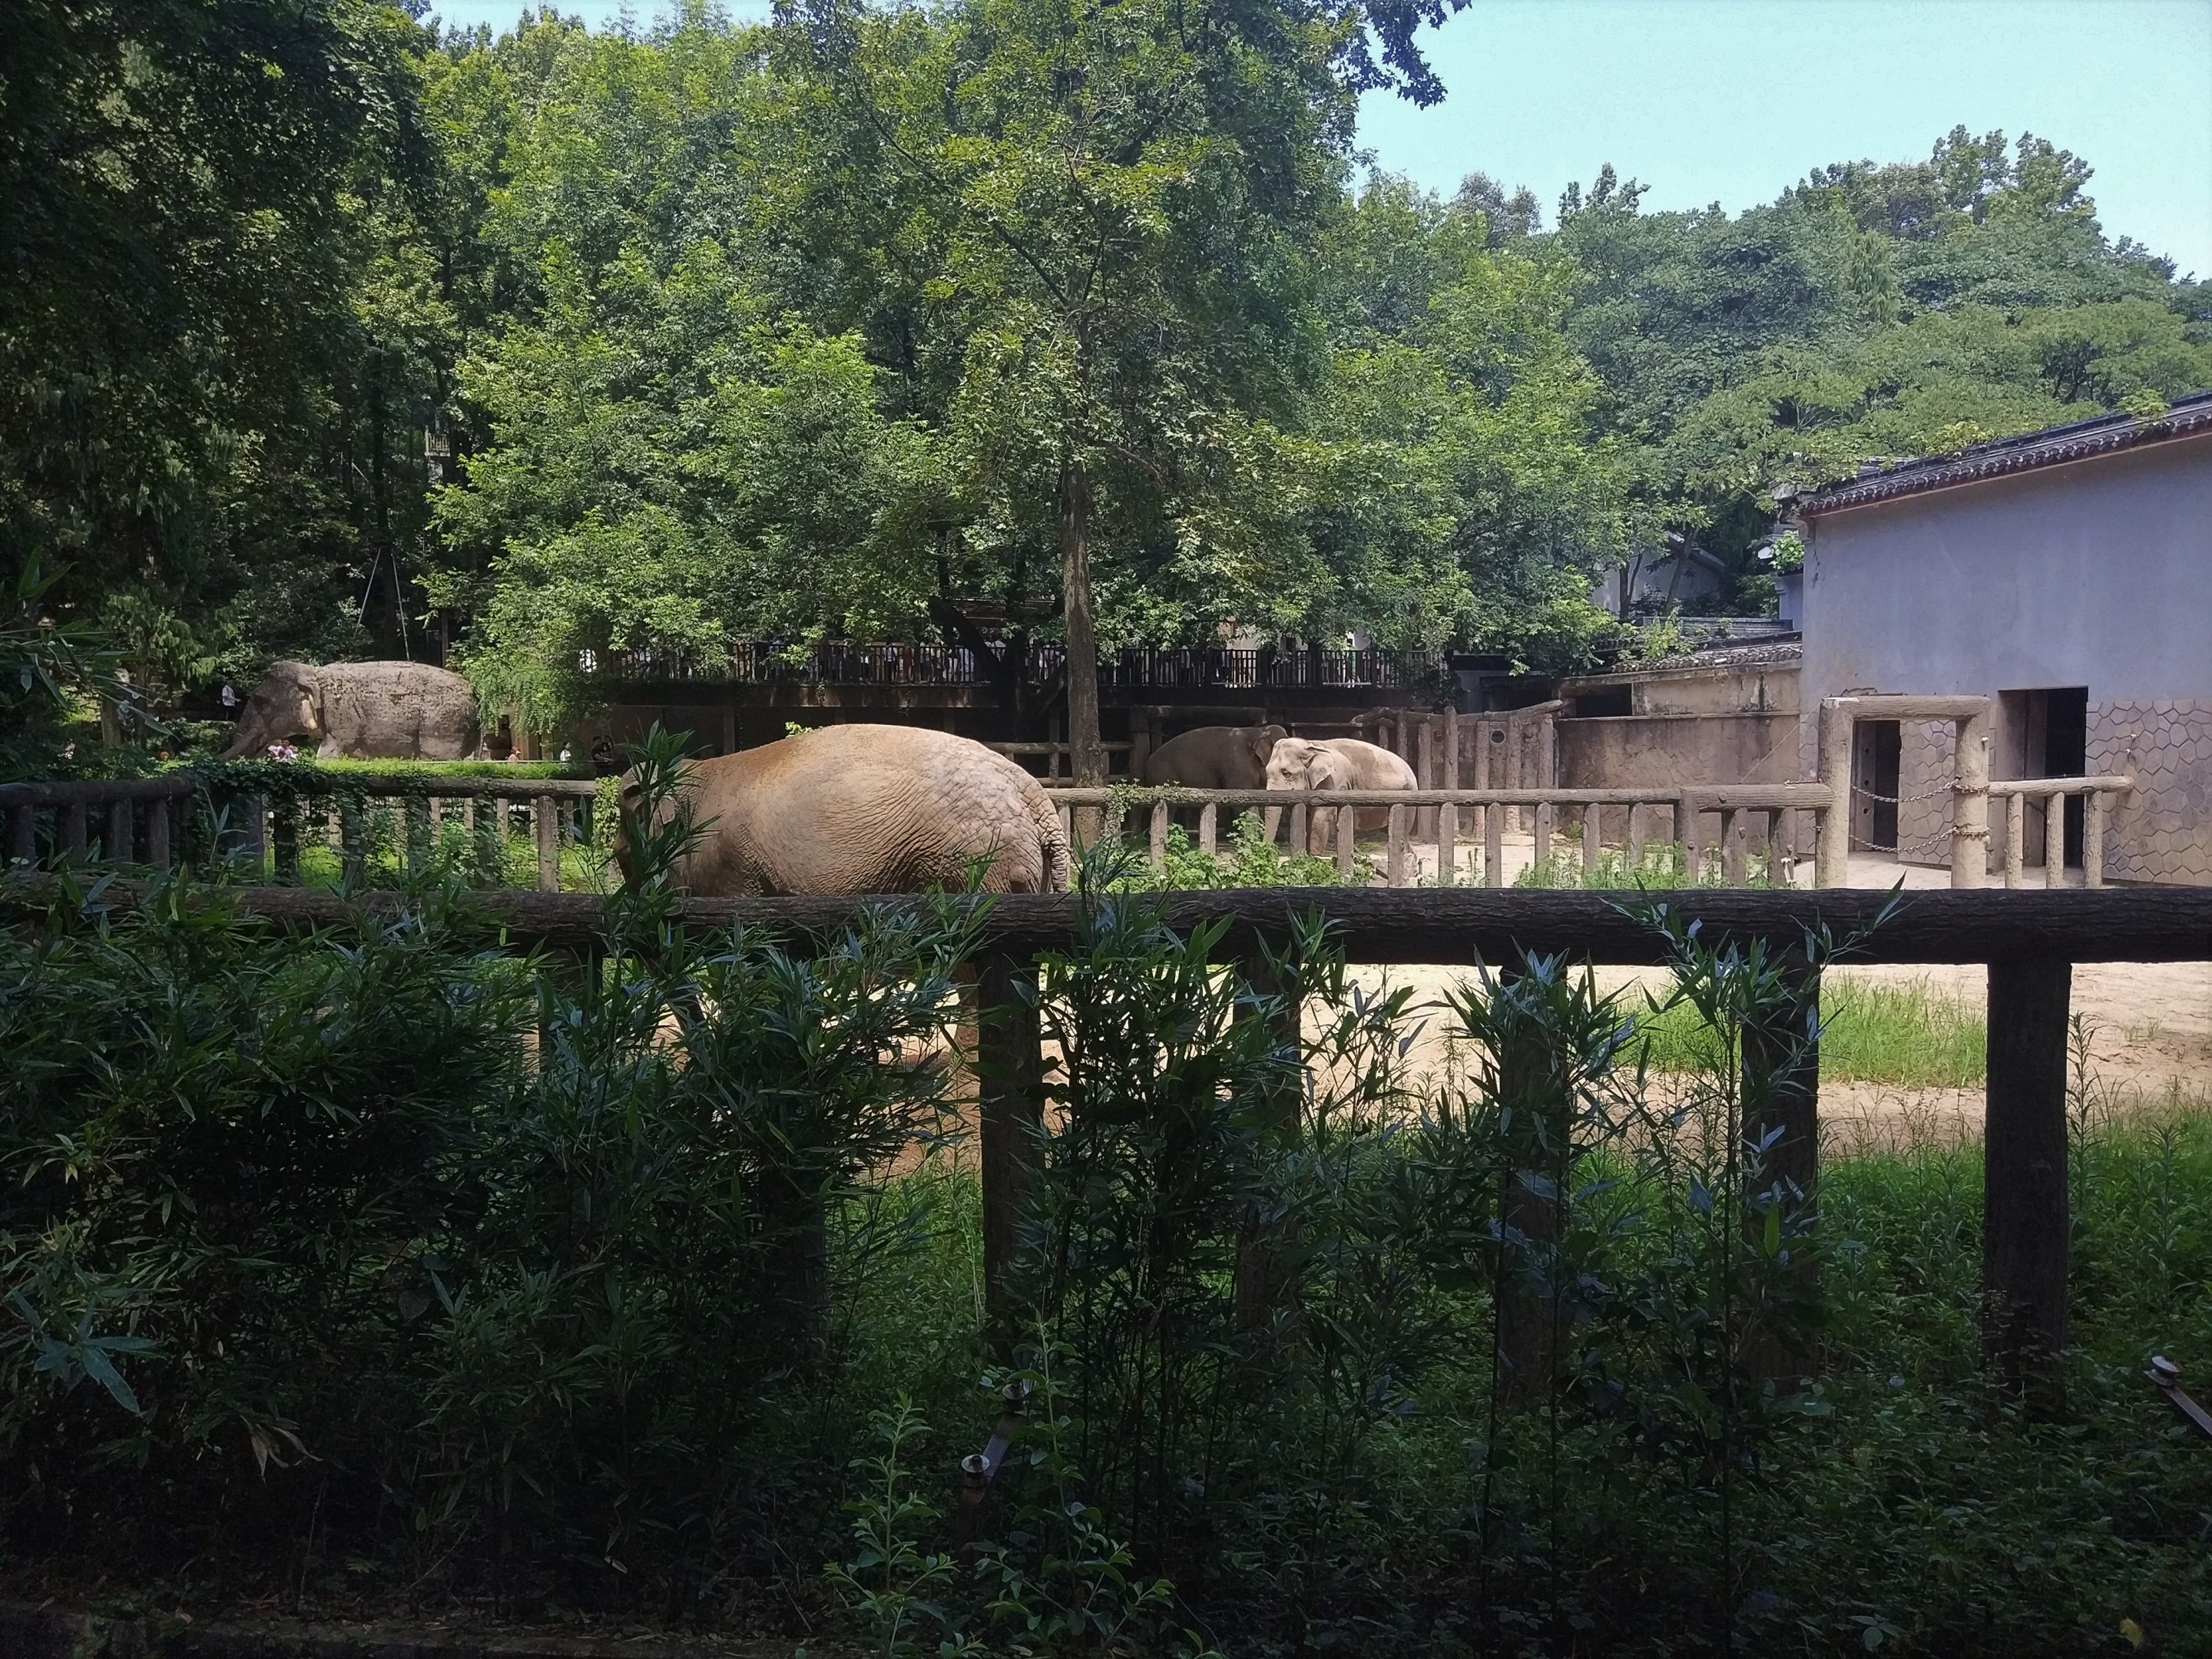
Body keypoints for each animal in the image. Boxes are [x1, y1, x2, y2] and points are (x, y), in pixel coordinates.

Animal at [220, 660, 481, 760]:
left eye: (261, 701)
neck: (314, 673)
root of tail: (474, 693)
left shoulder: (343, 713)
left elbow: (332, 749)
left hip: (442, 723)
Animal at [1264, 736, 1417, 855]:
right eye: (1266, 772)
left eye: (1286, 774)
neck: (1312, 745)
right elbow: (1308, 817)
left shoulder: (1335, 783)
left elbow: (1321, 817)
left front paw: (1315, 857)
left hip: (1409, 792)